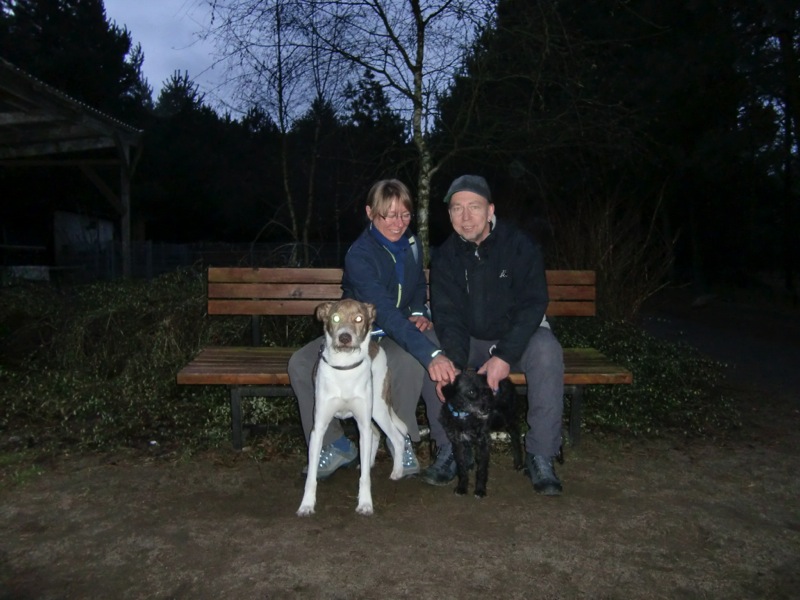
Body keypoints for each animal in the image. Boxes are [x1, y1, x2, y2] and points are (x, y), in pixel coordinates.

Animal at [297, 298, 408, 517]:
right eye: (335, 318)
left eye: (359, 318)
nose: (345, 337)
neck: (344, 368)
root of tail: (376, 346)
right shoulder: (318, 429)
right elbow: (311, 478)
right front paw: (306, 504)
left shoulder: (362, 424)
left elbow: (365, 479)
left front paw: (365, 504)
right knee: (376, 434)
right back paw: (370, 463)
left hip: (378, 409)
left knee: (396, 437)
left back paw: (397, 471)